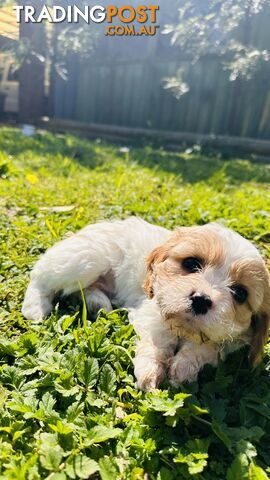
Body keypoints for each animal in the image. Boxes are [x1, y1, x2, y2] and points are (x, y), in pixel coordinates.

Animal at [21, 218, 270, 390]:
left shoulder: (226, 340)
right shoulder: (151, 310)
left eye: (240, 293)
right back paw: (35, 307)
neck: (183, 329)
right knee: (42, 275)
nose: (201, 300)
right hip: (85, 260)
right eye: (191, 263)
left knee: (84, 290)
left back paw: (98, 305)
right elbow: (157, 341)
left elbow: (205, 347)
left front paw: (183, 368)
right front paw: (150, 372)